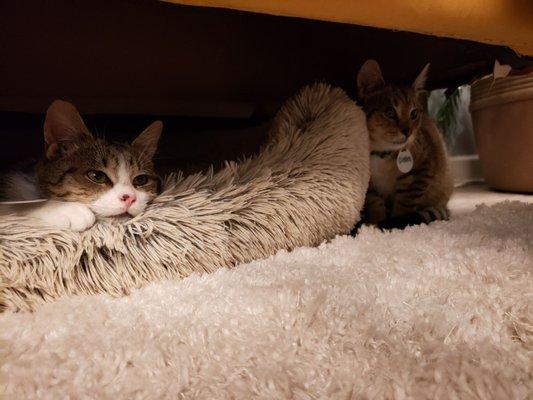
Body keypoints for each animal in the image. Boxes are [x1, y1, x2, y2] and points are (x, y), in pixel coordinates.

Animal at [356, 57, 450, 230]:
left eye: (414, 113)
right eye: (390, 112)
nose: (408, 132)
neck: (382, 154)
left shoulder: (420, 173)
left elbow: (405, 203)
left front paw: (395, 226)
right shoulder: (369, 184)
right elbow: (375, 202)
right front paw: (374, 224)